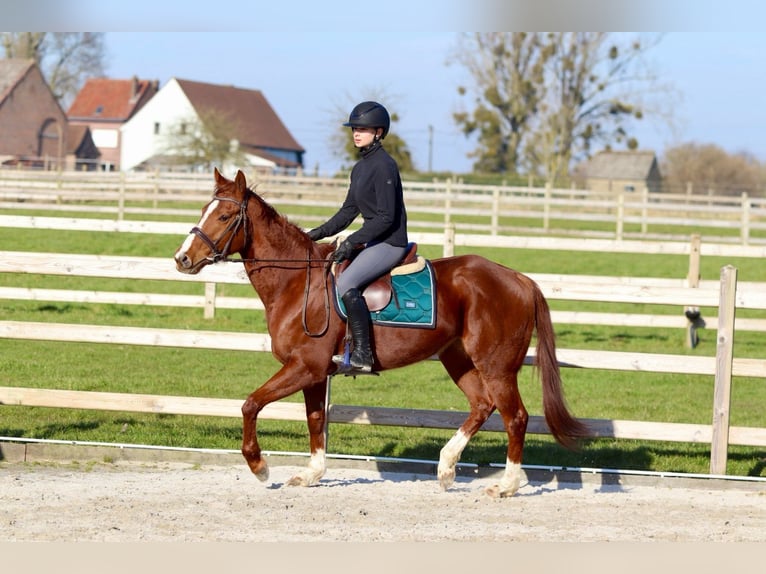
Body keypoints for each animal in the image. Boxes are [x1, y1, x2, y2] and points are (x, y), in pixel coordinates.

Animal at [174, 168, 592, 500]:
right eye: (203, 211)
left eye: (225, 215)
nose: (182, 259)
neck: (297, 284)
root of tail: (519, 279)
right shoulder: (313, 373)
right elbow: (315, 420)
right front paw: (311, 474)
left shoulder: (305, 367)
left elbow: (250, 404)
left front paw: (259, 466)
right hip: (458, 358)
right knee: (482, 406)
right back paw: (446, 468)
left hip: (497, 365)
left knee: (515, 416)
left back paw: (505, 485)